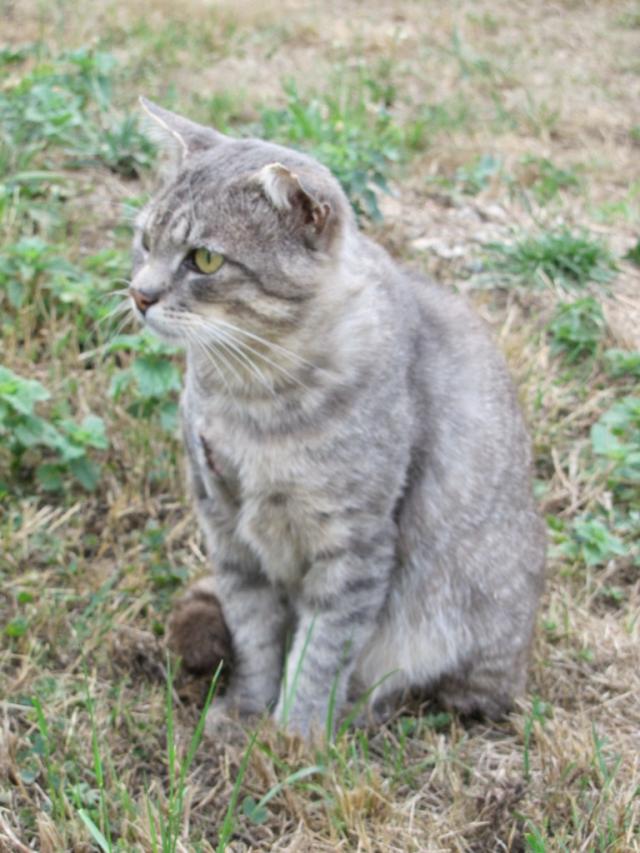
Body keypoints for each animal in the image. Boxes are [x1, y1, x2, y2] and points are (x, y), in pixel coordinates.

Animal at [129, 98, 544, 740]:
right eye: (145, 240)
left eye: (204, 259)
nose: (139, 294)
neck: (252, 400)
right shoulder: (225, 524)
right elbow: (255, 635)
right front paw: (247, 711)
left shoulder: (355, 543)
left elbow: (321, 651)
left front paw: (294, 736)